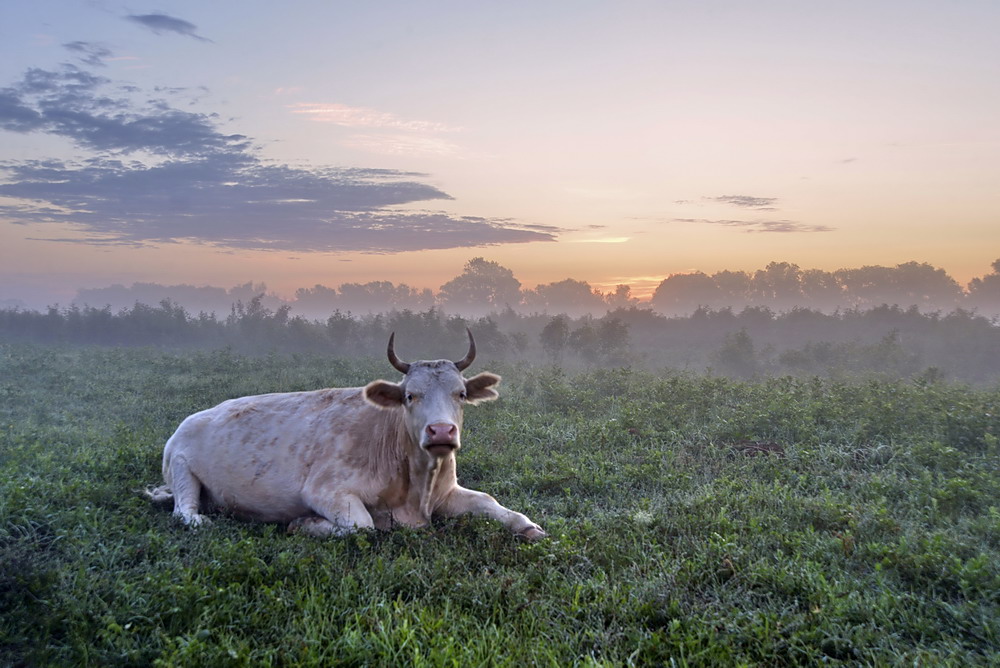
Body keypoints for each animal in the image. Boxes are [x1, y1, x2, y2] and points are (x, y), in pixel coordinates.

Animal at [145, 332, 544, 540]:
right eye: (409, 396)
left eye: (460, 394)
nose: (441, 431)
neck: (416, 485)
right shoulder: (326, 490)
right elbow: (362, 527)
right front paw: (306, 523)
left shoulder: (447, 493)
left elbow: (489, 502)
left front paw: (528, 526)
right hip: (181, 467)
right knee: (184, 511)